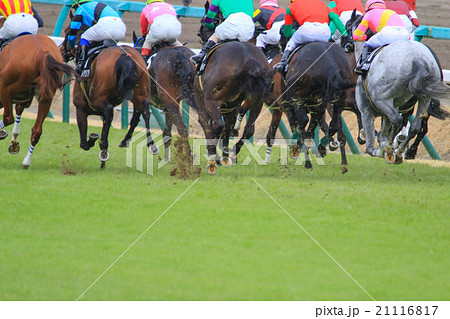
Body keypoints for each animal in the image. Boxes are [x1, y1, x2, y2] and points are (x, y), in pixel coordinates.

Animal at [0, 34, 74, 169]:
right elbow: (19, 110)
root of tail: (41, 53)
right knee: (37, 130)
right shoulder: (24, 98)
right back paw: (26, 161)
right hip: (46, 97)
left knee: (8, 117)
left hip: (5, 87)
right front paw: (14, 142)